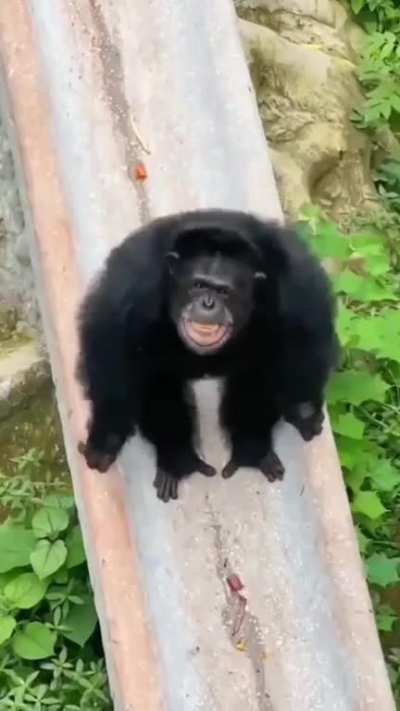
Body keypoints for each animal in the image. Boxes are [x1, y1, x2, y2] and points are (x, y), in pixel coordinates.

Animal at [76, 209, 338, 502]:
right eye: (198, 285)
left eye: (224, 291)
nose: (208, 303)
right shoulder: (130, 284)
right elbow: (110, 349)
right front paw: (106, 439)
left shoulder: (296, 282)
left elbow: (307, 335)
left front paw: (304, 410)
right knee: (156, 382)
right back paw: (177, 461)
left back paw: (252, 450)